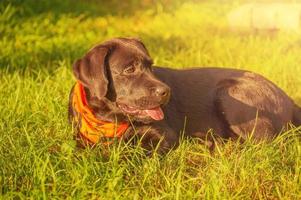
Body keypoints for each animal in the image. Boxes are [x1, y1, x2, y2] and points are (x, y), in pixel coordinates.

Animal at [68, 37, 300, 153]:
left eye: (150, 66)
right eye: (129, 69)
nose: (166, 91)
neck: (108, 119)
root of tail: (290, 100)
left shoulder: (164, 136)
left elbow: (135, 151)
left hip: (229, 93)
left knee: (265, 143)